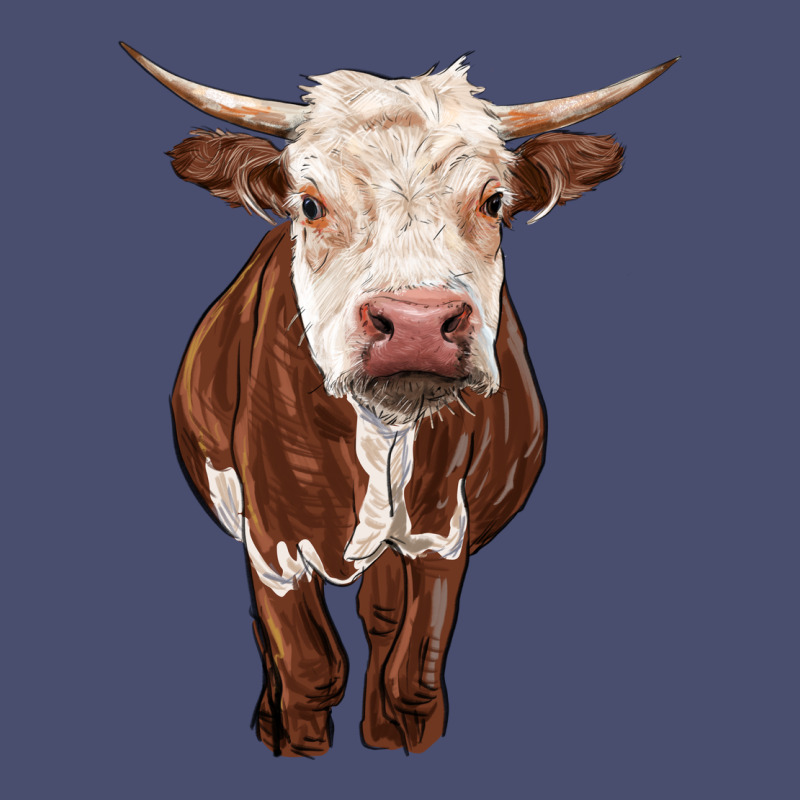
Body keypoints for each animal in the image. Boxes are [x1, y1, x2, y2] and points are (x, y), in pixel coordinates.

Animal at [123, 43, 677, 756]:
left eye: (494, 201)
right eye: (309, 205)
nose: (416, 323)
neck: (381, 434)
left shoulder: (442, 530)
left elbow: (413, 674)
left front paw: (401, 738)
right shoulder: (270, 542)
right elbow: (309, 669)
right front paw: (294, 742)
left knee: (382, 621)